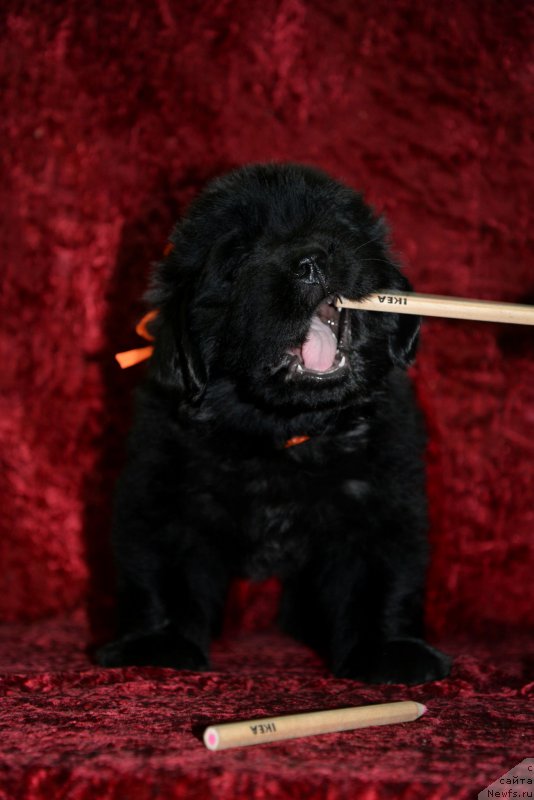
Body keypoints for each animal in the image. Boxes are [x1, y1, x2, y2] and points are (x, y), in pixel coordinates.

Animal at [96, 164, 452, 688]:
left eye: (340, 228)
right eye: (240, 256)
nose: (313, 261)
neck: (279, 437)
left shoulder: (381, 498)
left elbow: (382, 578)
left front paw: (389, 652)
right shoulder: (165, 490)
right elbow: (160, 571)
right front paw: (156, 648)